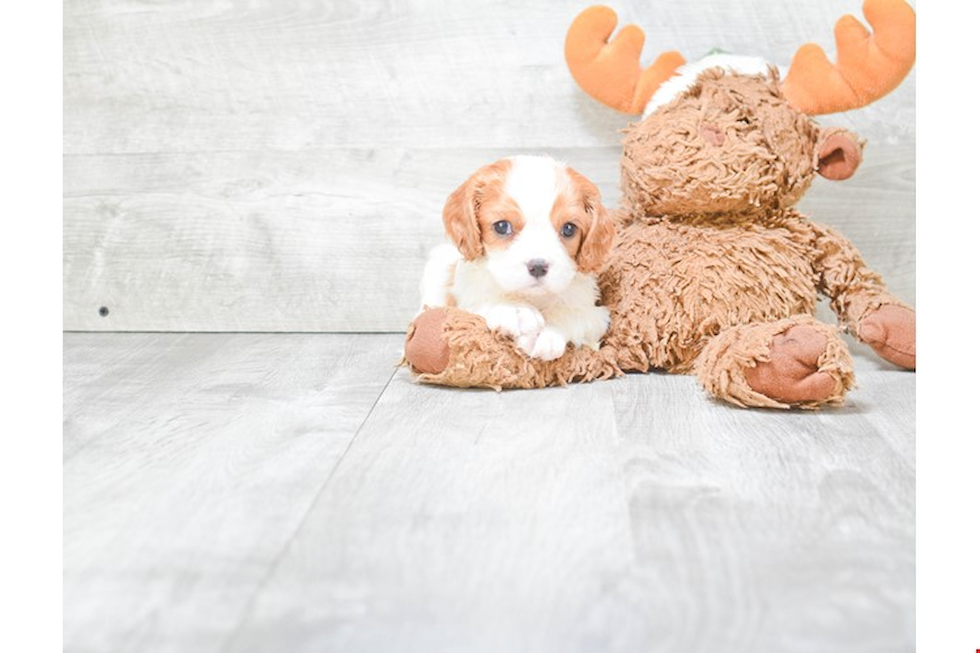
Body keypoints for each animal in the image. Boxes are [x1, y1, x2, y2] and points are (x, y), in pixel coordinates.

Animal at [420, 157, 612, 362]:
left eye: (569, 229)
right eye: (502, 226)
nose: (538, 266)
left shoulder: (597, 316)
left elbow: (573, 313)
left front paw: (546, 332)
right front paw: (515, 308)